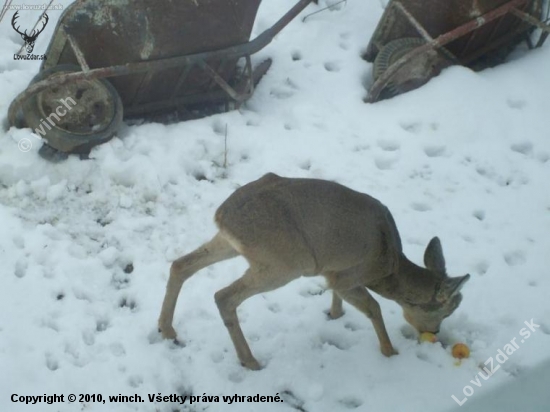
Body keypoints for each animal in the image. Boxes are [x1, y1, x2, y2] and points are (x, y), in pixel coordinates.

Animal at [158, 174, 470, 370]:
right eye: (445, 311)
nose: (434, 332)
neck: (387, 266)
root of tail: (221, 215)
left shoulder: (333, 271)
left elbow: (340, 297)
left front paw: (334, 314)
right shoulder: (348, 276)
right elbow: (373, 307)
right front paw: (389, 351)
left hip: (234, 246)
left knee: (180, 265)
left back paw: (166, 329)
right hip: (283, 263)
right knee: (223, 296)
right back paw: (251, 361)